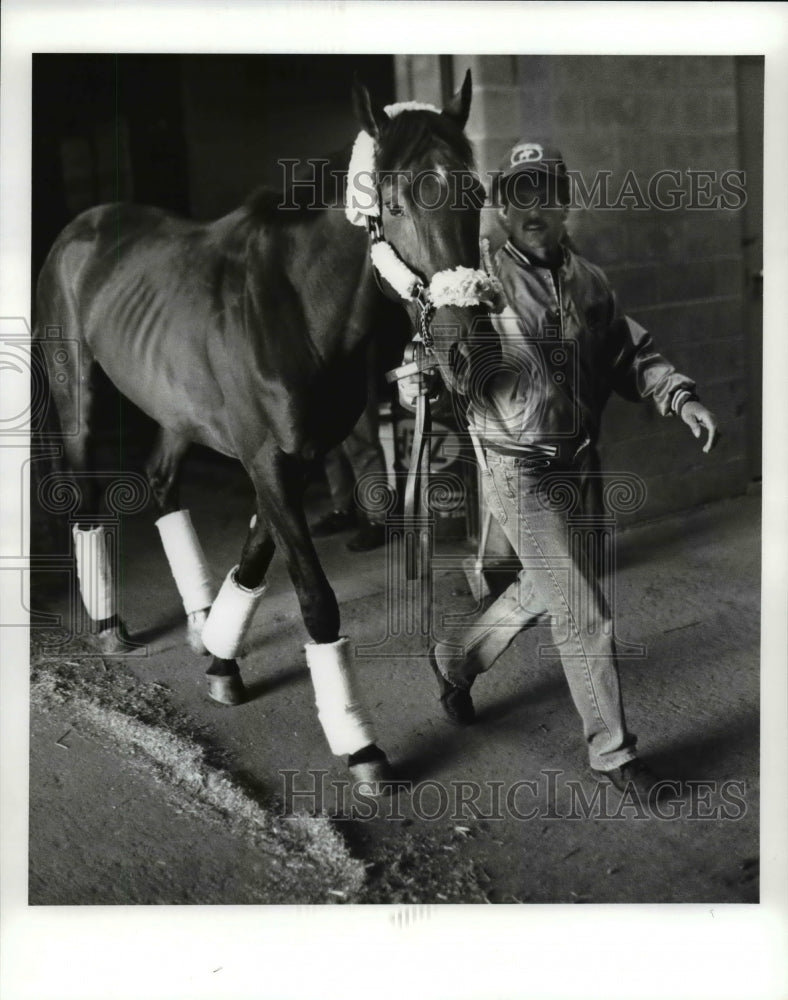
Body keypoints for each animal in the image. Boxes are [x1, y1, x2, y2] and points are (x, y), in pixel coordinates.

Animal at [33, 70, 502, 788]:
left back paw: (199, 615)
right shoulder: (270, 459)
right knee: (86, 494)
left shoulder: (295, 457)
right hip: (77, 389)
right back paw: (110, 621)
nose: (466, 348)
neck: (298, 306)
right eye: (393, 200)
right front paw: (362, 749)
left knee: (163, 484)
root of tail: (83, 225)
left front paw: (220, 659)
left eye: (475, 192)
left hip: (177, 411)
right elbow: (314, 597)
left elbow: (254, 560)